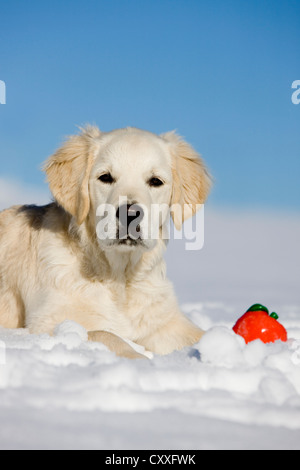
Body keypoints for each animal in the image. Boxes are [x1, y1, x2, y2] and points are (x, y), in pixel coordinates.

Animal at [0, 126, 211, 358]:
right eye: (105, 177)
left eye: (156, 181)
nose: (130, 214)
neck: (120, 278)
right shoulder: (50, 324)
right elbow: (106, 334)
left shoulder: (165, 322)